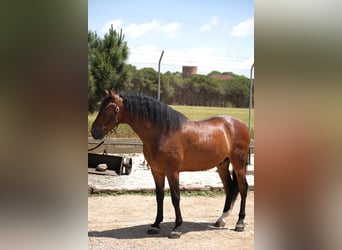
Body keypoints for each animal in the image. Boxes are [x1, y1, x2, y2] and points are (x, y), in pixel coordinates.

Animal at [91, 90, 251, 238]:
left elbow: (175, 198)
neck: (163, 132)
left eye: (110, 108)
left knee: (243, 188)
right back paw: (221, 220)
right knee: (230, 188)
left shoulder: (172, 171)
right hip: (222, 165)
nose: (94, 132)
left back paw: (240, 223)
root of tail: (240, 124)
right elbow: (159, 196)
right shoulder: (157, 171)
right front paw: (155, 225)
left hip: (239, 164)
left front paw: (177, 228)